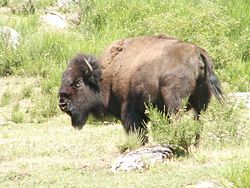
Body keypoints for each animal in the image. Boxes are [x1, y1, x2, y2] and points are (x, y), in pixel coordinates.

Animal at [59, 34, 225, 142]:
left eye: (78, 82)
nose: (62, 103)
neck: (107, 74)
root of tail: (197, 52)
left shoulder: (130, 110)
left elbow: (137, 131)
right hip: (201, 103)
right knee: (198, 122)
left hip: (175, 102)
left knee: (177, 119)